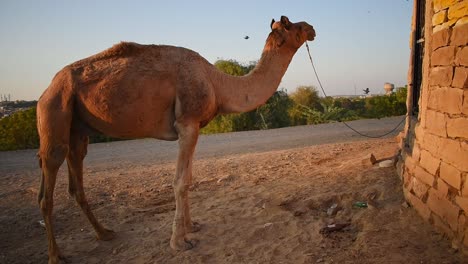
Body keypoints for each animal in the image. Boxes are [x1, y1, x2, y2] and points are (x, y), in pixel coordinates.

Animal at [35, 16, 314, 262]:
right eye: (293, 25)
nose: (312, 28)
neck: (217, 83)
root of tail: (45, 90)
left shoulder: (194, 127)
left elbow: (188, 178)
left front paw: (192, 227)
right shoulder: (187, 123)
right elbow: (180, 181)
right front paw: (179, 243)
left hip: (77, 129)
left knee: (76, 178)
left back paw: (104, 233)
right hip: (54, 110)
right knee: (48, 183)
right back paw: (55, 256)